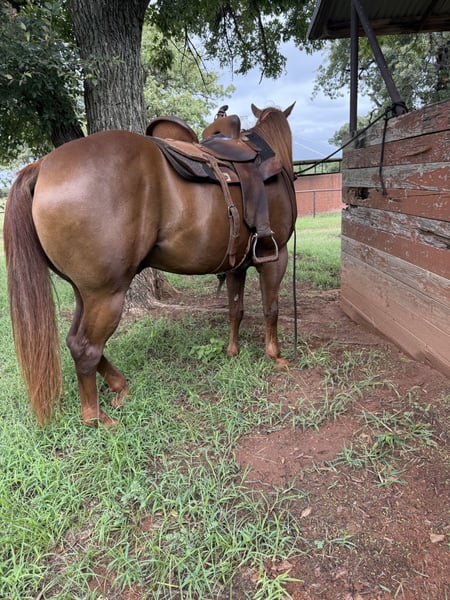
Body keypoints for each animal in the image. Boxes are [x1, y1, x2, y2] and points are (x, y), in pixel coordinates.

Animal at [4, 103, 297, 427]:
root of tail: (42, 165)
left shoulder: (236, 267)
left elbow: (236, 310)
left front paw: (233, 350)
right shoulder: (275, 256)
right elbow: (271, 308)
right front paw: (275, 355)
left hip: (85, 292)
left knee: (73, 341)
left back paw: (118, 385)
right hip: (106, 294)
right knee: (86, 347)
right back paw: (95, 416)